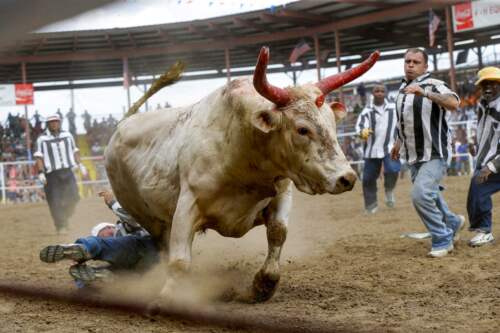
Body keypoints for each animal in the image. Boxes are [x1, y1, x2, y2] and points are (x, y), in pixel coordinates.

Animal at [105, 47, 378, 300]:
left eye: (333, 123)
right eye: (302, 129)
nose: (347, 178)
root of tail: (119, 129)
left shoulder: (282, 192)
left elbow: (278, 233)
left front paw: (263, 285)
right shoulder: (187, 205)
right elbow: (180, 260)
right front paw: (167, 298)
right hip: (147, 217)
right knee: (162, 247)